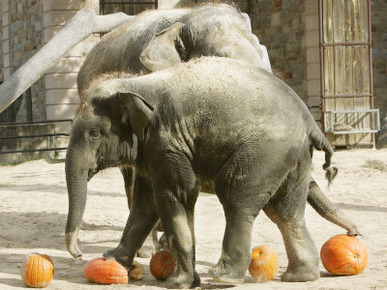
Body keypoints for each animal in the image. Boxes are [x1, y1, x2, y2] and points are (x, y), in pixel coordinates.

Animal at [65, 57, 342, 288]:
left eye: (94, 134)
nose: (78, 253)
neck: (136, 85)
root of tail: (309, 121)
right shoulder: (151, 150)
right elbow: (145, 203)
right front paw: (113, 260)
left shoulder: (168, 142)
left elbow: (177, 195)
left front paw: (179, 283)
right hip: (293, 159)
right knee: (286, 212)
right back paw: (300, 277)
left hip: (264, 153)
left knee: (236, 200)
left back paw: (223, 277)